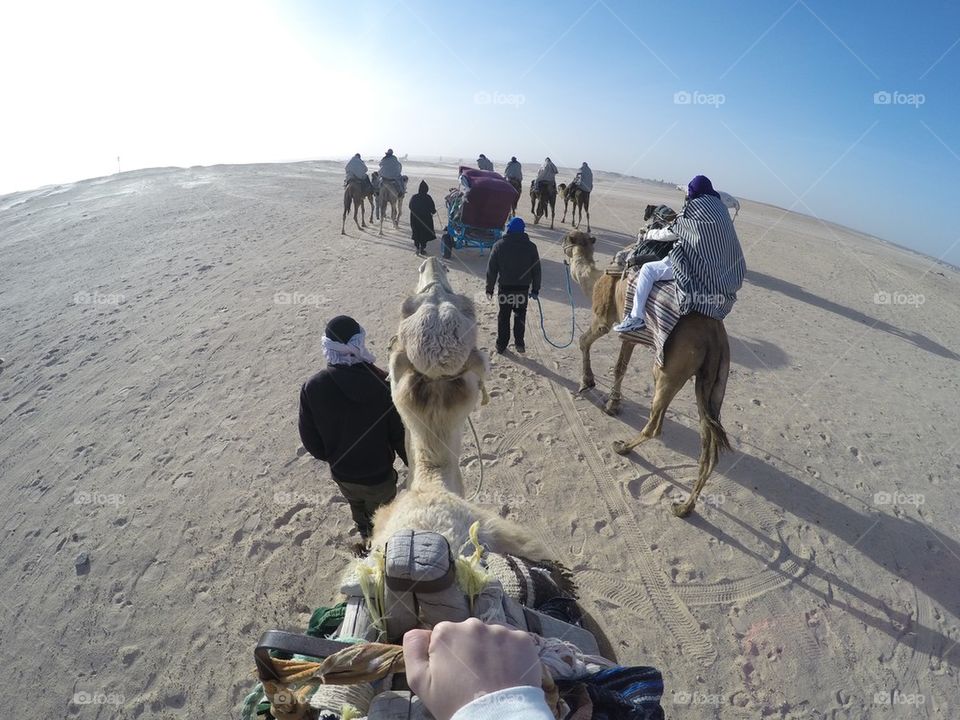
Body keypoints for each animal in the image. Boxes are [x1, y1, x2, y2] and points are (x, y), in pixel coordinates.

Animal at [564, 231, 728, 516]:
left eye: (567, 238)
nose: (563, 248)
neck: (595, 278)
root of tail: (715, 337)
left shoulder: (604, 318)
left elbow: (585, 342)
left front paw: (588, 383)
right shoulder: (629, 333)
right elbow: (621, 366)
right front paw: (613, 403)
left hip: (668, 369)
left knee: (655, 424)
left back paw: (623, 447)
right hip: (714, 381)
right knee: (709, 444)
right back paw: (684, 507)